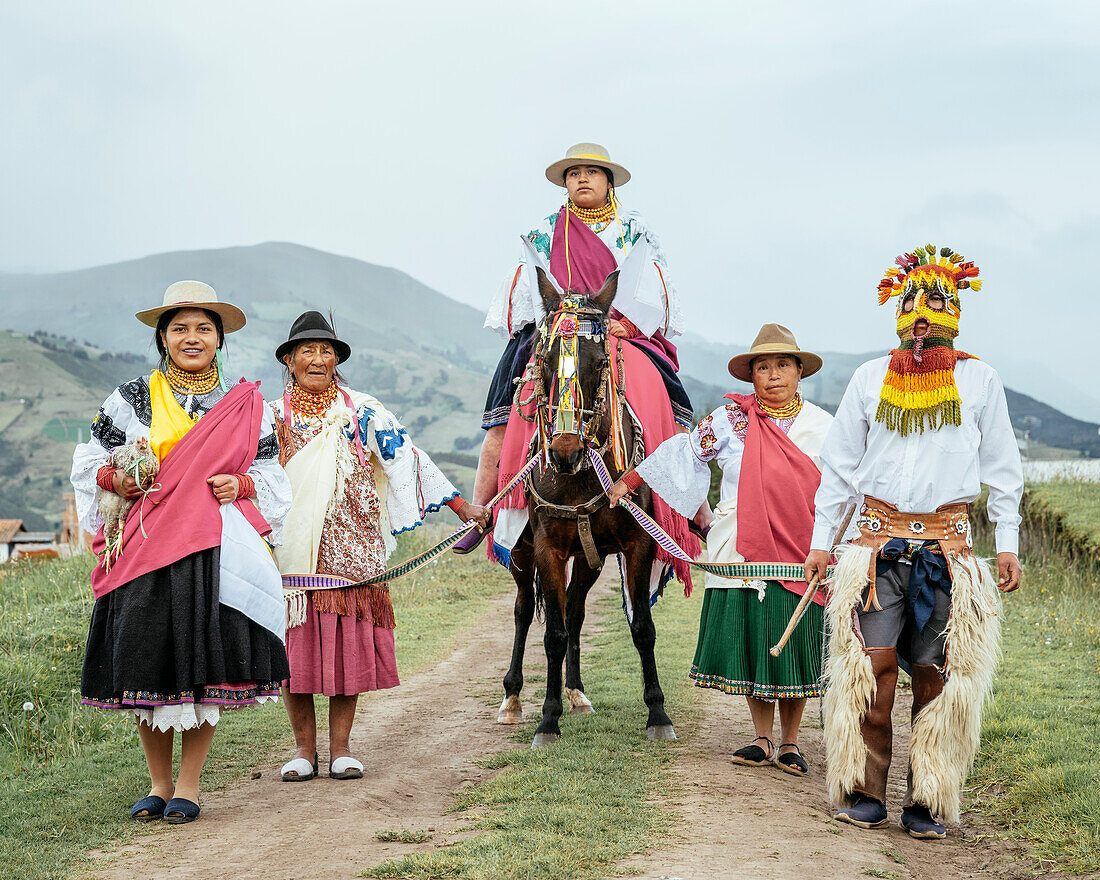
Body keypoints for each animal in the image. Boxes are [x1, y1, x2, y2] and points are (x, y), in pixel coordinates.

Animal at [495, 266, 673, 743]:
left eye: (599, 362)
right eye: (545, 360)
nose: (564, 451)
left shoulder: (636, 545)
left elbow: (643, 628)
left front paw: (658, 713)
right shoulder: (548, 550)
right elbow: (552, 634)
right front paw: (547, 718)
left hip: (591, 557)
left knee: (575, 610)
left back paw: (576, 692)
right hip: (521, 554)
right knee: (524, 611)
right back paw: (513, 697)